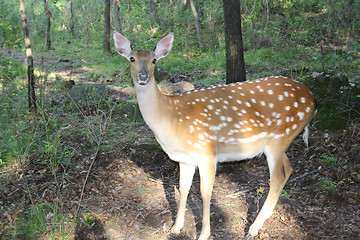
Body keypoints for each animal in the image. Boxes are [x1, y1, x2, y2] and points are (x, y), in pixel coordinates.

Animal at [113, 32, 318, 240]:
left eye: (154, 60)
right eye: (132, 58)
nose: (143, 76)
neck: (170, 117)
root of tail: (313, 99)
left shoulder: (206, 151)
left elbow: (205, 193)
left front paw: (204, 234)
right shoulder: (184, 159)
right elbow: (183, 188)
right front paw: (176, 227)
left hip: (280, 136)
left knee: (277, 176)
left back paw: (253, 228)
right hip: (281, 141)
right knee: (288, 169)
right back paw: (266, 215)